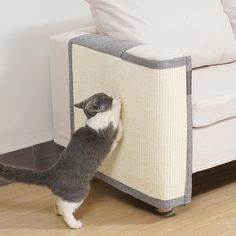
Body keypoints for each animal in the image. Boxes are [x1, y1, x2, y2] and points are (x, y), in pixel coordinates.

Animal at [0, 93, 122, 229]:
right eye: (105, 97)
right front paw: (117, 100)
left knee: (58, 200)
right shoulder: (110, 129)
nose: (109, 95)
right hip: (81, 189)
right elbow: (116, 119)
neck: (93, 118)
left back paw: (57, 211)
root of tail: (52, 174)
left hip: (65, 193)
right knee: (67, 209)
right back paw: (73, 223)